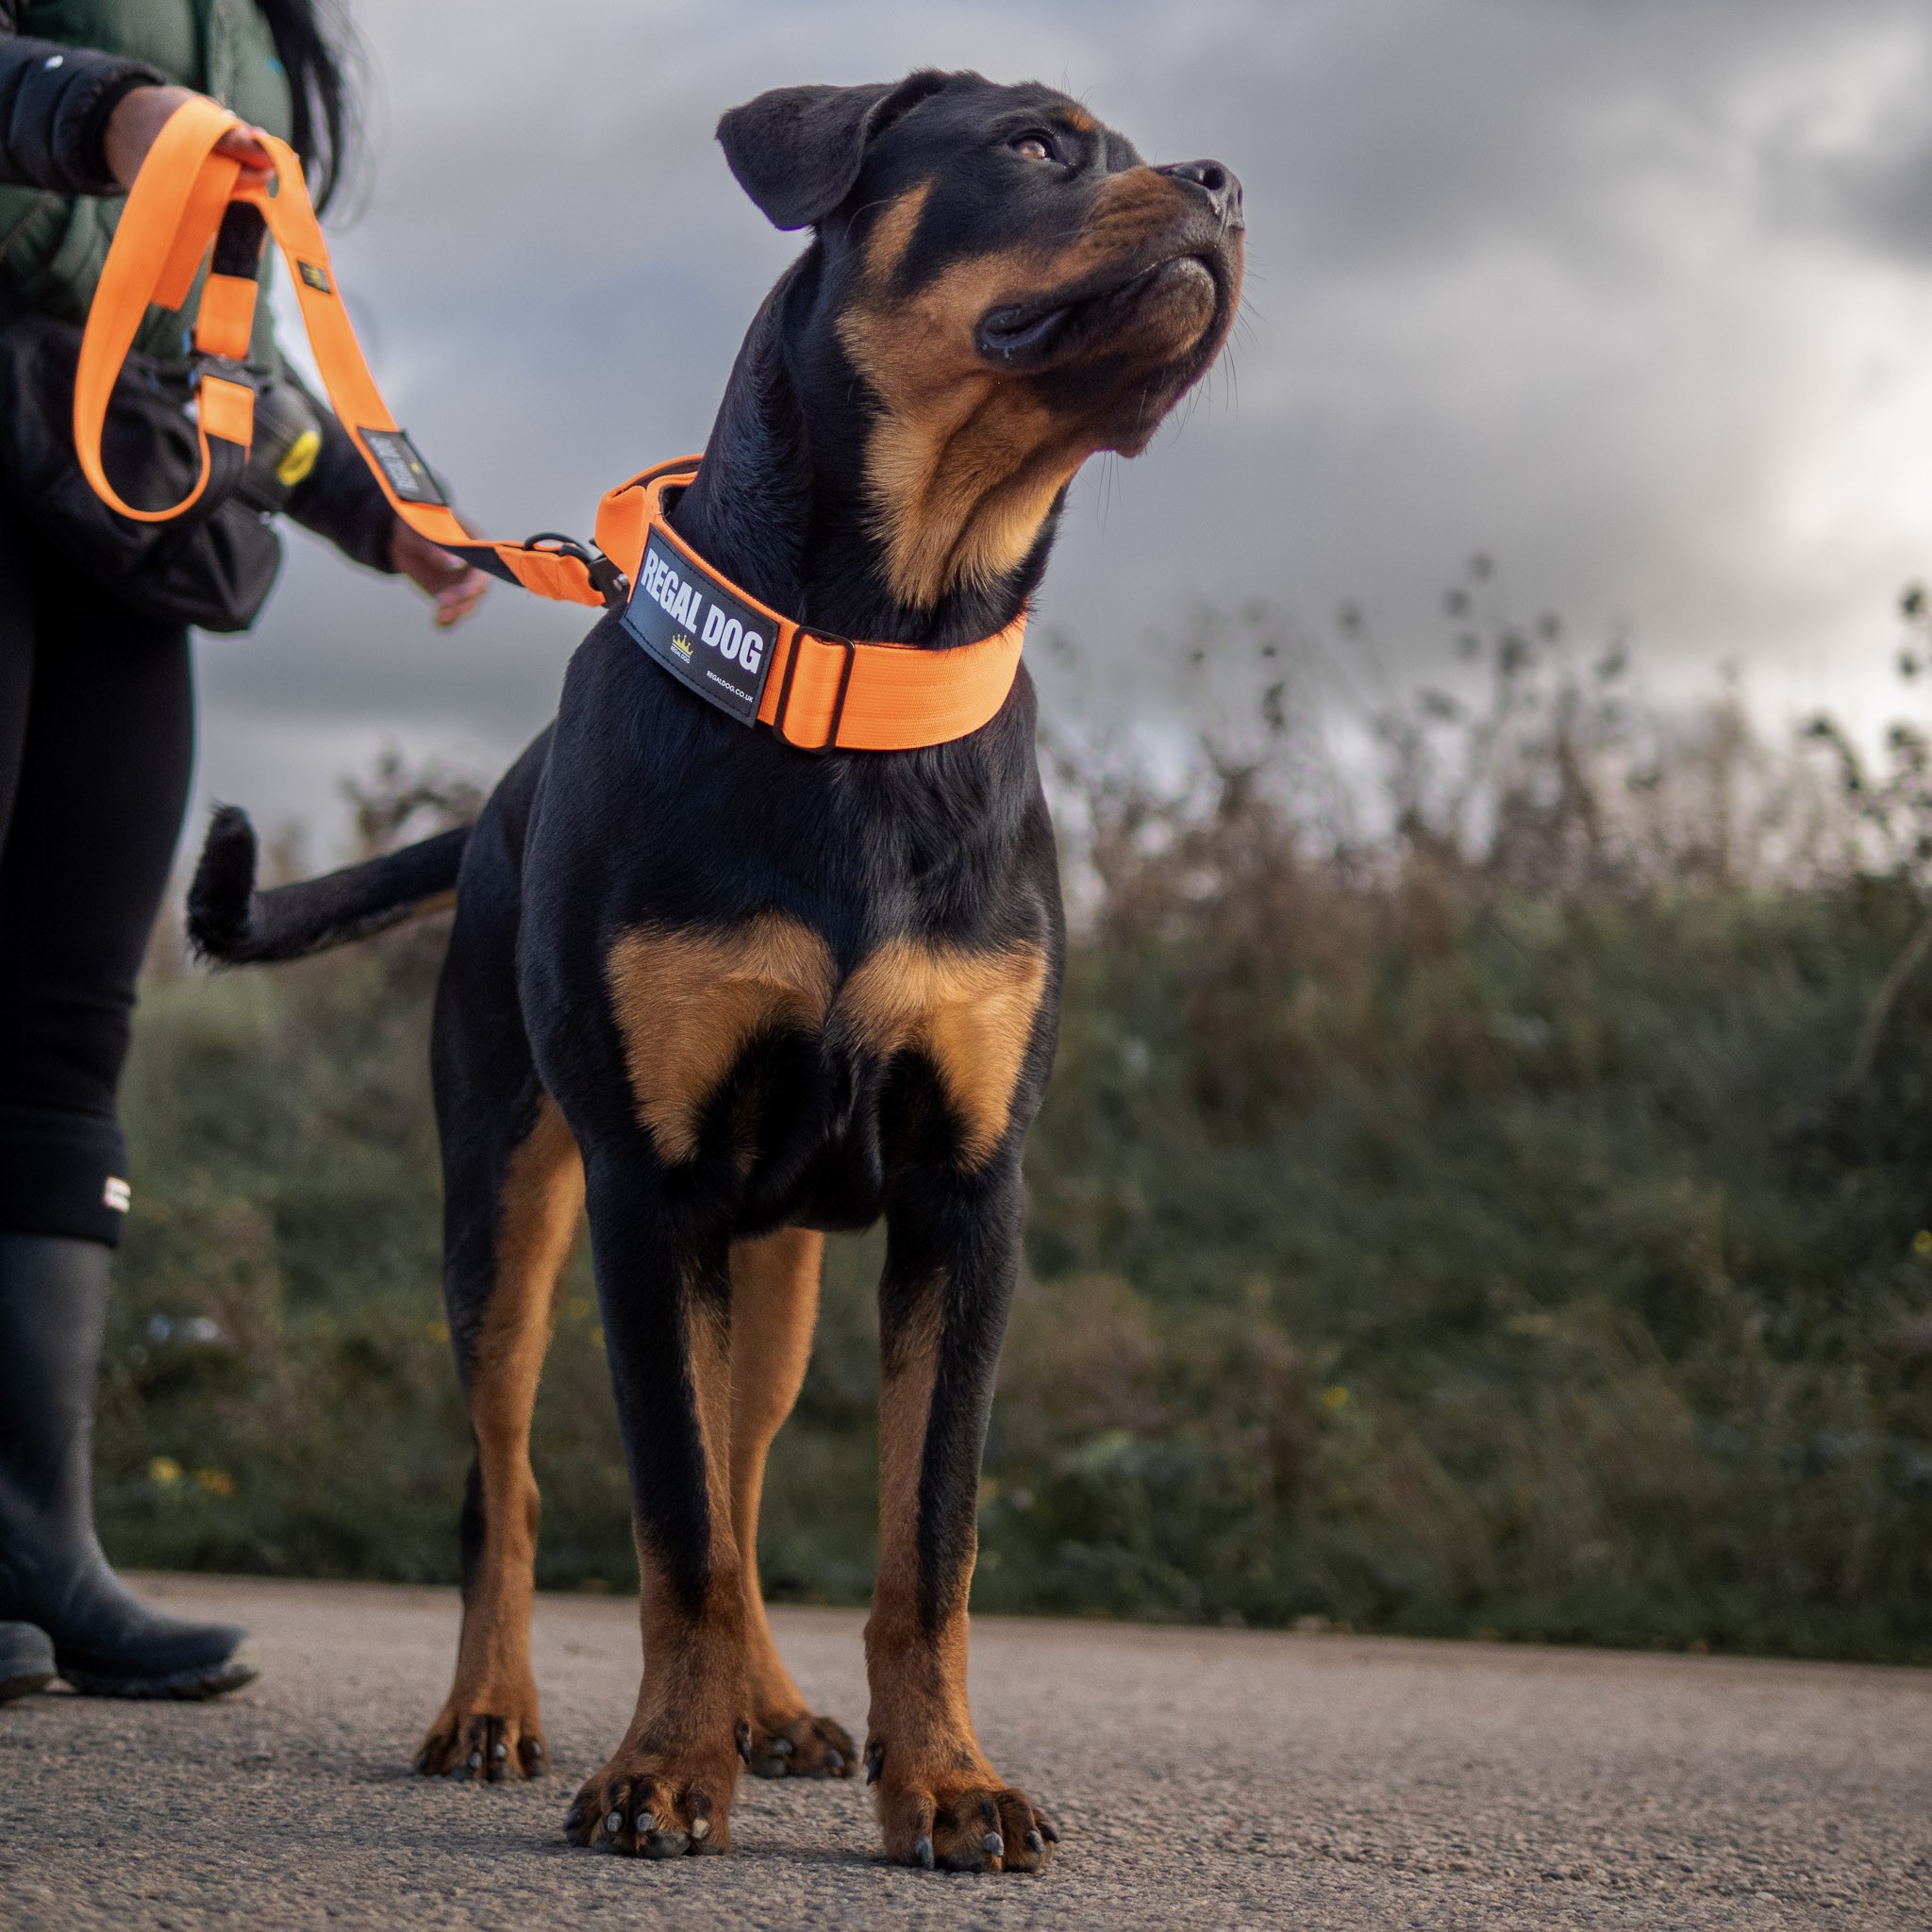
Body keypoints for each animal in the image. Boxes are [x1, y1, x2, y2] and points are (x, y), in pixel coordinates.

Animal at [192, 68, 1236, 1862]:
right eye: (1036, 142)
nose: (1228, 185)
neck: (859, 663)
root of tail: (495, 807)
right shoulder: (647, 1184)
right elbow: (669, 1523)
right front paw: (662, 1772)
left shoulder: (967, 1196)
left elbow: (923, 1541)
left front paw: (944, 1782)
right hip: (507, 1209)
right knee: (511, 1480)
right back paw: (490, 1711)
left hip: (783, 1264)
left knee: (745, 1477)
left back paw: (775, 1709)